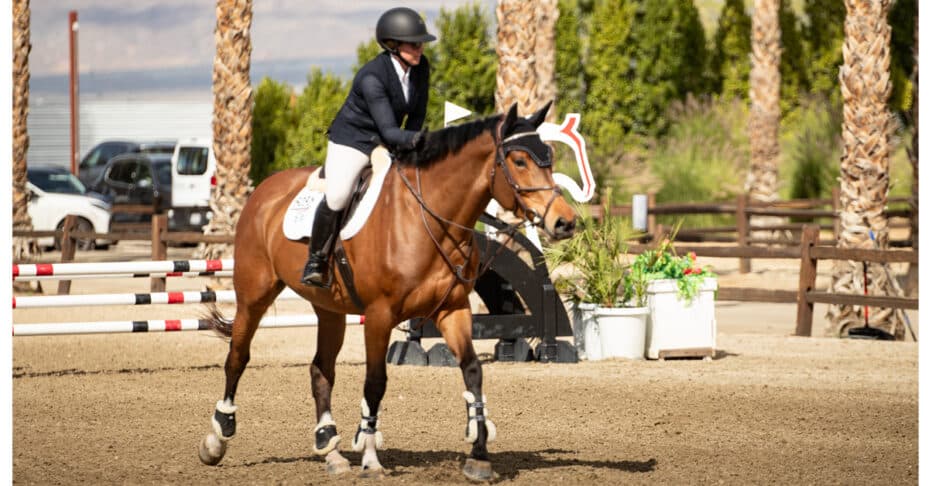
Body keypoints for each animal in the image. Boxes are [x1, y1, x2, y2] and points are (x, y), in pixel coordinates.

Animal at [197, 102, 577, 481]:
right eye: (520, 161)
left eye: (549, 157)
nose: (565, 222)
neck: (429, 220)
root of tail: (264, 189)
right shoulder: (380, 315)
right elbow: (375, 382)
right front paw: (370, 457)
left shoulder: (453, 310)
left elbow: (472, 372)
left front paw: (479, 456)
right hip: (254, 294)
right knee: (237, 357)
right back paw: (217, 438)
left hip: (329, 308)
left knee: (321, 370)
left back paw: (330, 450)